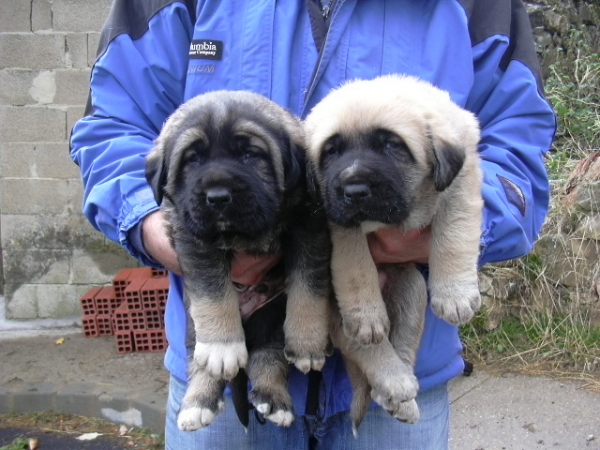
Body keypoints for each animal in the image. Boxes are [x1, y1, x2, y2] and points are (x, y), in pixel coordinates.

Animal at [147, 90, 330, 428]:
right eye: (193, 159)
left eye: (250, 155)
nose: (218, 197)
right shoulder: (194, 236)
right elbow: (213, 292)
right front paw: (223, 347)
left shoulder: (310, 228)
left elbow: (309, 287)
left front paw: (308, 342)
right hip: (193, 324)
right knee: (199, 359)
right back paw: (198, 402)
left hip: (273, 316)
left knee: (267, 356)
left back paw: (274, 398)